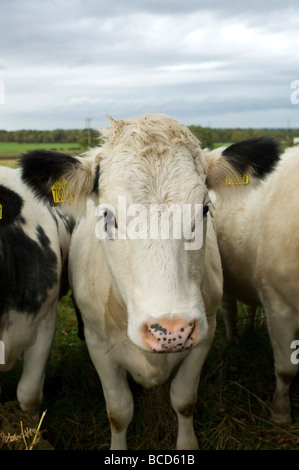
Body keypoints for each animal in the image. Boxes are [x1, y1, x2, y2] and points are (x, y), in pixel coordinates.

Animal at [19, 114, 280, 448]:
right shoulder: (97, 345)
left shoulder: (204, 335)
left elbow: (184, 400)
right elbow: (119, 412)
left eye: (205, 208)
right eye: (107, 216)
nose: (171, 331)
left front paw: (187, 444)